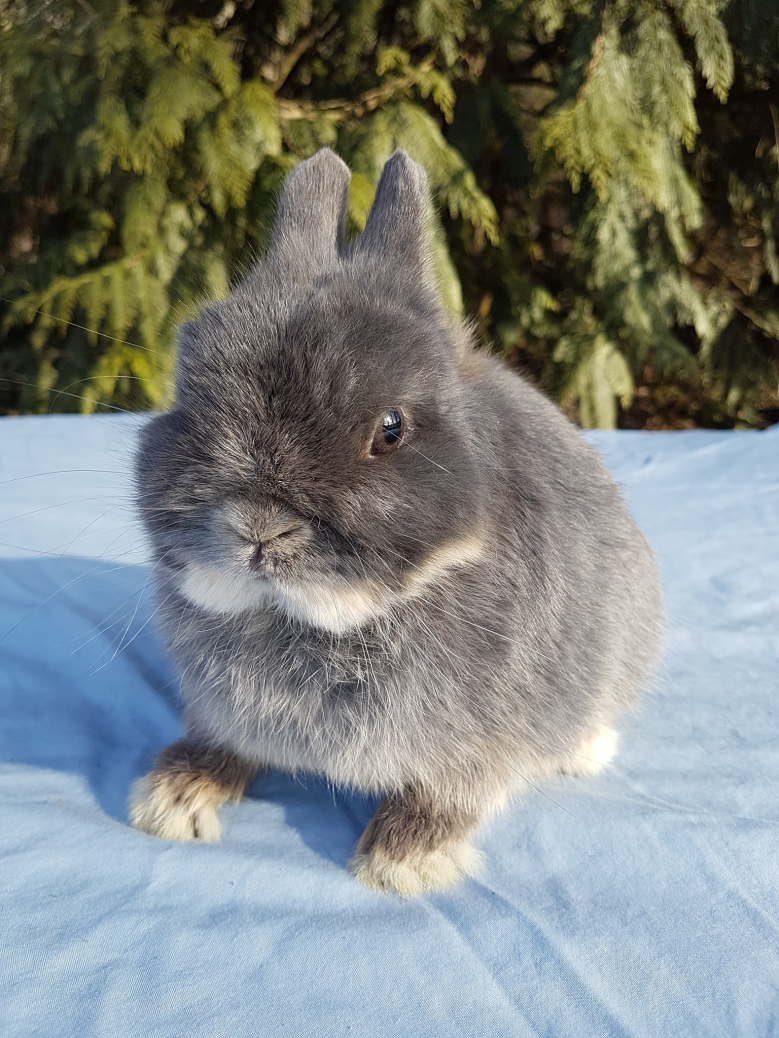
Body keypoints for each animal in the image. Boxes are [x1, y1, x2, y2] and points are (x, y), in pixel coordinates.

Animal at [129, 148, 663, 896]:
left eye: (390, 429)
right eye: (188, 397)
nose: (260, 530)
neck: (316, 622)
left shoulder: (481, 739)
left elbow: (451, 791)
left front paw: (403, 859)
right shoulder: (223, 710)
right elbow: (225, 742)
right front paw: (174, 797)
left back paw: (585, 749)